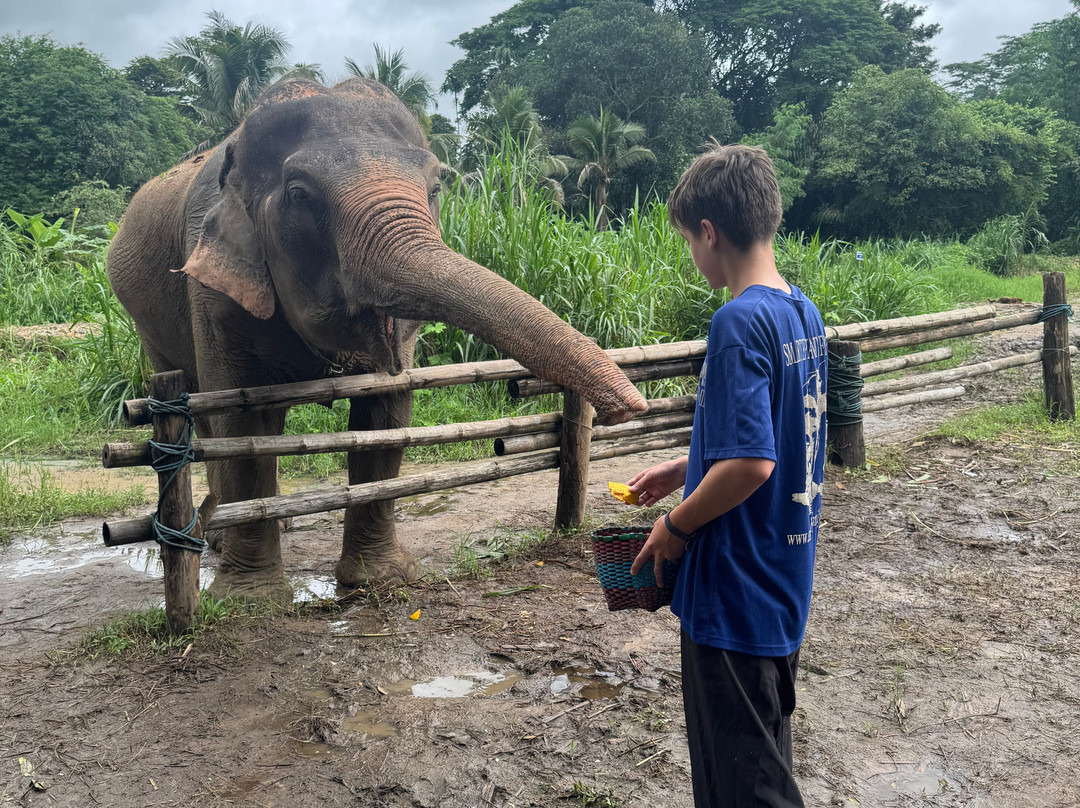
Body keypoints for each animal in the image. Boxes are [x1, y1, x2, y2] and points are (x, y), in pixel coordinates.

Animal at [106, 77, 647, 598]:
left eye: (436, 187)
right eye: (299, 194)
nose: (631, 408)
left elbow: (386, 413)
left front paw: (379, 580)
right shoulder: (212, 290)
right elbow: (240, 427)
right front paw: (249, 600)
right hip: (149, 328)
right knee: (206, 418)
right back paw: (216, 538)